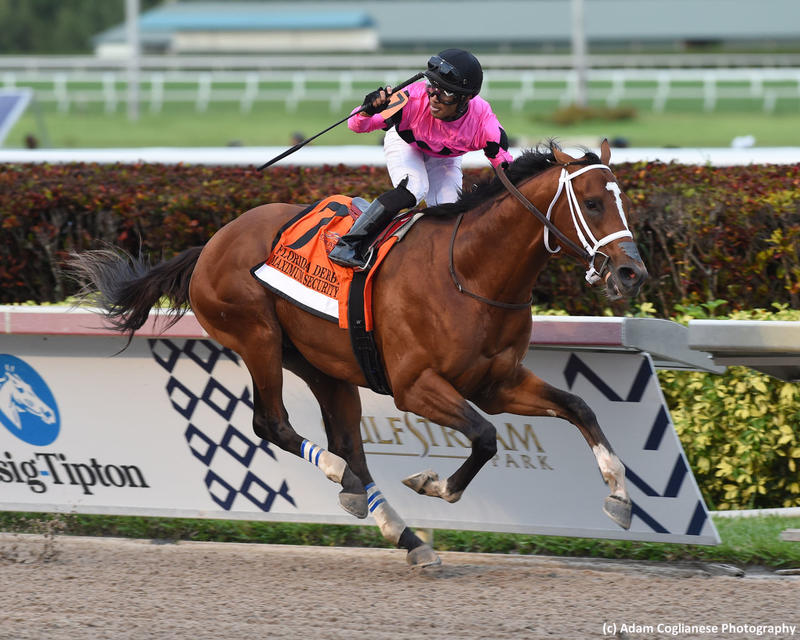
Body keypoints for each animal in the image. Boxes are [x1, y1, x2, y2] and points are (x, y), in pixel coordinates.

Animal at [69, 140, 648, 564]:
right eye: (593, 203)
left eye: (622, 200)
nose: (630, 272)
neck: (471, 272)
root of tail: (211, 243)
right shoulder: (416, 386)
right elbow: (484, 436)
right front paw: (433, 483)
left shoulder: (497, 382)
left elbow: (579, 407)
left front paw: (620, 497)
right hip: (257, 336)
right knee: (274, 424)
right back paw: (343, 481)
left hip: (324, 366)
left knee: (349, 443)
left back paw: (402, 534)